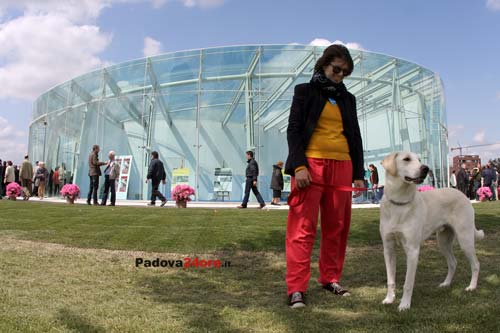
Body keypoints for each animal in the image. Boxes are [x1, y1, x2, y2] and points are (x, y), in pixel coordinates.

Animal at [378, 152, 484, 310]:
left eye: (419, 160)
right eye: (406, 159)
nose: (426, 168)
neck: (399, 203)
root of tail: (462, 194)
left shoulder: (412, 250)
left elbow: (408, 283)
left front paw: (404, 305)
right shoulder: (388, 249)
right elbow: (391, 280)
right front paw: (389, 299)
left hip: (465, 239)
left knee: (475, 264)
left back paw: (472, 287)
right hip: (443, 242)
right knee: (453, 262)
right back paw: (446, 284)